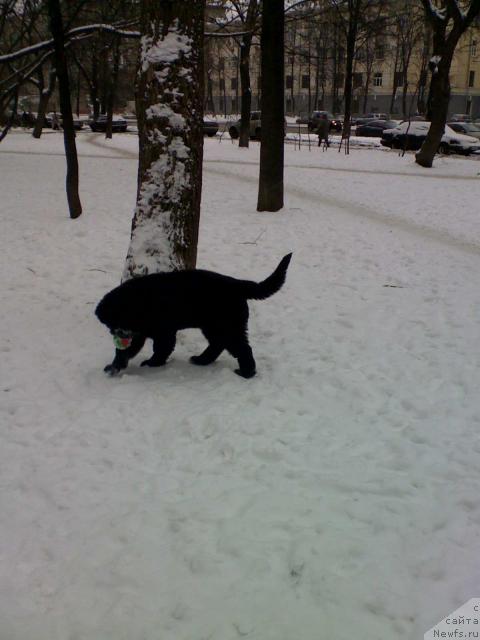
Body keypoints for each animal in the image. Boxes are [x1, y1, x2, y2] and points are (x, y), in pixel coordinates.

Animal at [96, 252, 292, 378]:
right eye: (110, 321)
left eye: (123, 315)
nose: (120, 334)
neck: (139, 305)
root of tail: (237, 284)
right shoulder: (139, 333)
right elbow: (125, 351)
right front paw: (114, 367)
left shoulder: (163, 332)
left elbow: (161, 349)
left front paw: (152, 364)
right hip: (214, 326)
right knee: (218, 344)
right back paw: (202, 360)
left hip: (227, 326)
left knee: (242, 348)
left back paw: (246, 373)